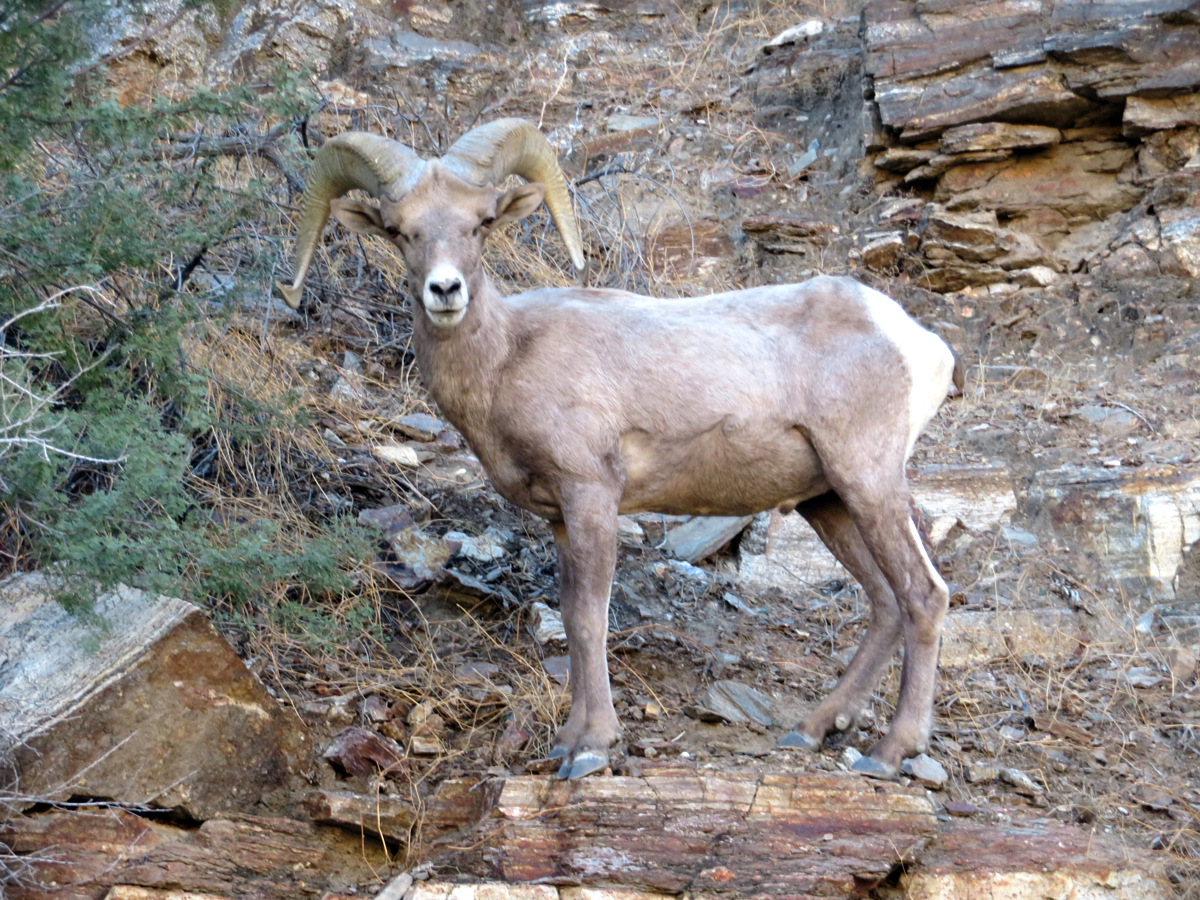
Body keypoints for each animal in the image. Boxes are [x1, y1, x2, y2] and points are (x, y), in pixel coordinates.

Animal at [279, 118, 961, 781]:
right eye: (400, 232)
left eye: (481, 223)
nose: (444, 291)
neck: (506, 360)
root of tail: (915, 341)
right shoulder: (560, 518)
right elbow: (571, 615)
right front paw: (564, 743)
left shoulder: (591, 497)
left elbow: (589, 619)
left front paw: (591, 750)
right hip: (829, 503)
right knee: (886, 604)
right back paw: (812, 730)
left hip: (868, 482)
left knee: (923, 597)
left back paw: (890, 754)